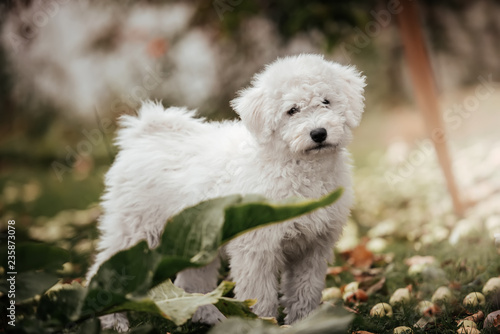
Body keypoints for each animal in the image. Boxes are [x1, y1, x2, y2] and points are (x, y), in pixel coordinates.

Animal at [88, 53, 366, 330]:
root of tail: (143, 136)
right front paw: (260, 324)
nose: (318, 133)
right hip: (135, 230)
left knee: (192, 281)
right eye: (292, 110)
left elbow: (305, 290)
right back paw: (113, 320)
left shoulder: (313, 247)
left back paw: (206, 316)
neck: (296, 164)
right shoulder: (256, 246)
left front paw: (305, 323)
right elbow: (259, 293)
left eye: (326, 101)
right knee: (104, 269)